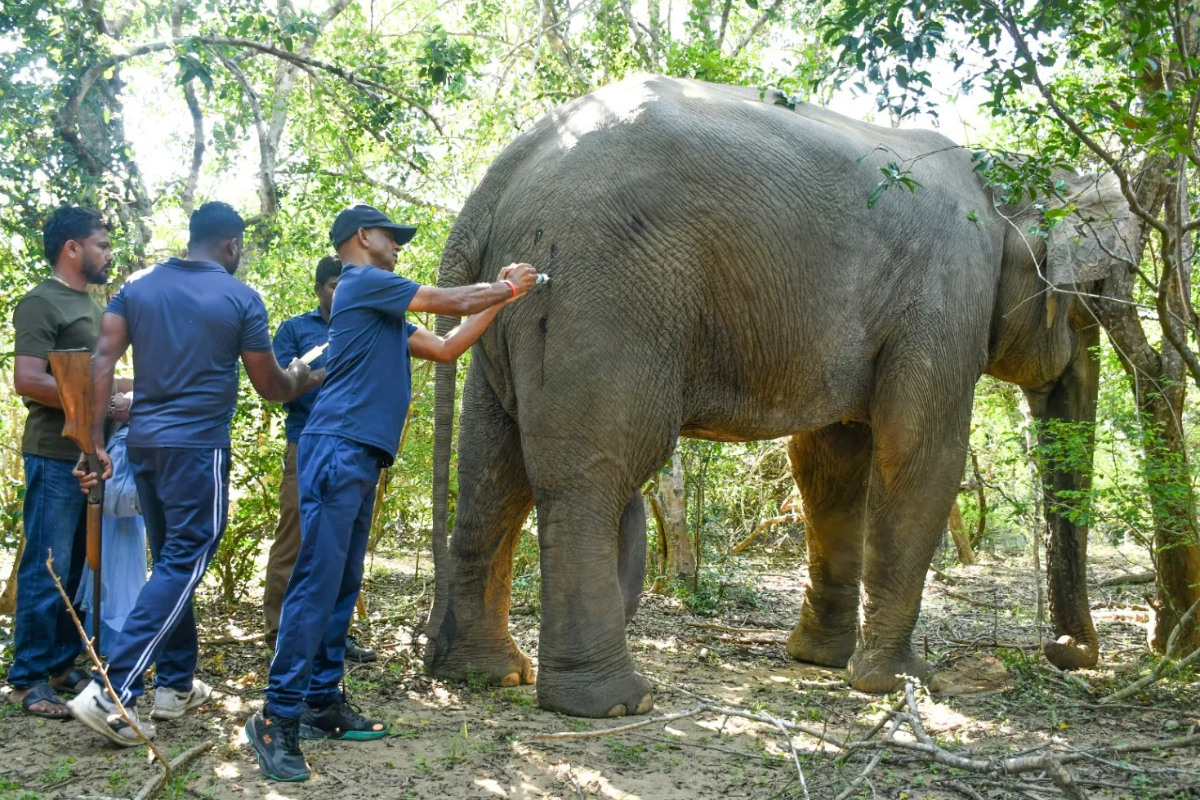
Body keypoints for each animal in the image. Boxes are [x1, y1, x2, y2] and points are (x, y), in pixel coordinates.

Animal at [422, 75, 1138, 718]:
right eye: (1095, 295)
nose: (1066, 652)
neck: (1003, 172)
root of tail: (501, 174)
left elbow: (832, 462)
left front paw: (820, 660)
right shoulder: (947, 286)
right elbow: (922, 454)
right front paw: (900, 682)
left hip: (520, 309)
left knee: (495, 472)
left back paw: (488, 675)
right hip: (602, 287)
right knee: (592, 473)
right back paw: (612, 703)